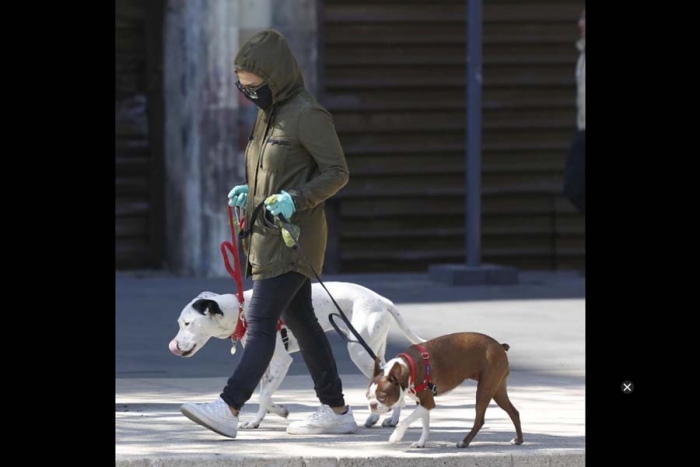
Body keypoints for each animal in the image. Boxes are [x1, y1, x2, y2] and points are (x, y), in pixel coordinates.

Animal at [168, 282, 426, 432]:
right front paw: (260, 419)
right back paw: (380, 418)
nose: (173, 346)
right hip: (372, 349)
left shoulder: (281, 361)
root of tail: (382, 300)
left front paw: (278, 411)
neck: (241, 311)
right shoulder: (267, 363)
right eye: (180, 323)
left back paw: (391, 419)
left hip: (360, 351)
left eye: (187, 323)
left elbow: (263, 396)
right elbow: (262, 396)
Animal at [366, 332, 520, 450]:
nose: (372, 405)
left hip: (484, 389)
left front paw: (395, 436)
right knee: (514, 412)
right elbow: (425, 425)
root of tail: (500, 346)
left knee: (480, 420)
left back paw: (464, 442)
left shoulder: (428, 402)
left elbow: (406, 420)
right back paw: (518, 440)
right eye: (367, 397)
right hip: (497, 389)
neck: (408, 368)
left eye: (382, 397)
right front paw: (421, 443)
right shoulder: (423, 403)